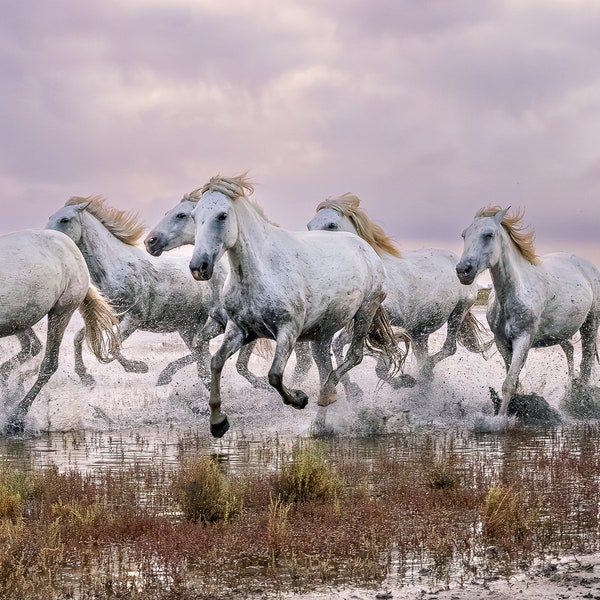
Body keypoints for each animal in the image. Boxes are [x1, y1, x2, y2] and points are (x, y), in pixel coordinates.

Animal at [0, 229, 119, 432]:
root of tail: (69, 244)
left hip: (62, 311)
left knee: (49, 363)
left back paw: (16, 419)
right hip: (21, 318)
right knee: (31, 347)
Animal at [46, 197, 225, 390]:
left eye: (64, 220)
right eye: (50, 217)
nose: (49, 237)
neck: (114, 267)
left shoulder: (134, 318)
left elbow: (113, 346)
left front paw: (138, 367)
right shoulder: (112, 316)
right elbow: (79, 338)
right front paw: (86, 378)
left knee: (203, 350)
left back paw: (167, 376)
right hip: (187, 327)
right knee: (201, 351)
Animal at [188, 173, 404, 436]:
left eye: (222, 215)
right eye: (194, 216)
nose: (199, 267)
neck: (259, 272)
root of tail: (363, 246)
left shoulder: (288, 330)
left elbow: (274, 375)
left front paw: (299, 399)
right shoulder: (239, 330)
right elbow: (216, 362)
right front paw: (218, 422)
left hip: (365, 312)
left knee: (354, 357)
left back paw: (326, 396)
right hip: (321, 336)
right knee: (325, 368)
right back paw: (321, 422)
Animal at [308, 193, 490, 384]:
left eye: (331, 225)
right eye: (309, 226)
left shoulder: (388, 324)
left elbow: (381, 364)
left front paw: (402, 381)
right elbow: (339, 346)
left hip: (458, 312)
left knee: (449, 348)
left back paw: (427, 369)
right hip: (420, 332)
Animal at [458, 204, 596, 414]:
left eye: (488, 234)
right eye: (464, 235)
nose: (463, 270)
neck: (513, 294)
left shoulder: (523, 339)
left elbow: (509, 384)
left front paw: (500, 419)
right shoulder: (502, 342)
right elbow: (514, 380)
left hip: (591, 323)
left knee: (587, 360)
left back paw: (578, 398)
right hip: (560, 332)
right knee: (570, 349)